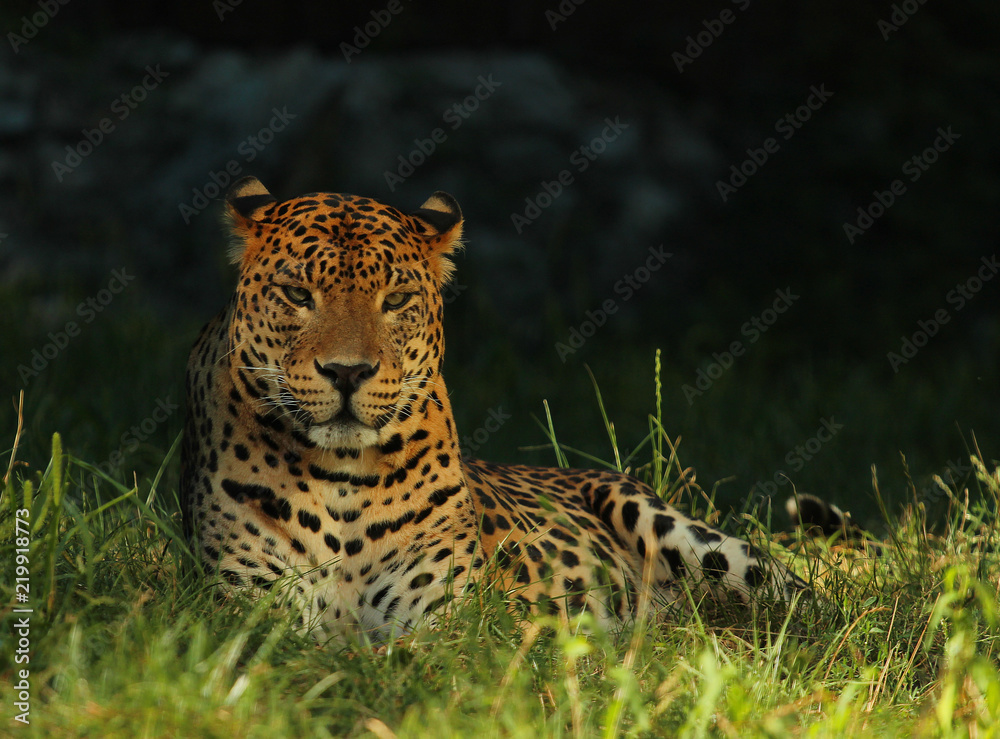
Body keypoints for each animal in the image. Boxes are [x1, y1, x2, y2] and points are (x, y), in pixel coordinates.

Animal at [180, 176, 809, 643]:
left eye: (397, 300)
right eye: (297, 295)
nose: (347, 372)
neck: (342, 480)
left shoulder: (453, 619)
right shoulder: (254, 612)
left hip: (680, 531)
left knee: (798, 596)